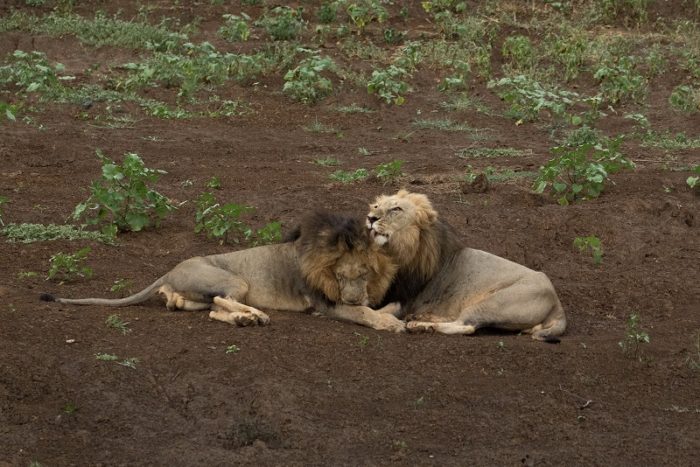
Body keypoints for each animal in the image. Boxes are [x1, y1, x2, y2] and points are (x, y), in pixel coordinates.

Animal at [41, 211, 405, 332]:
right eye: (341, 276)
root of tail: (170, 270)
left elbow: (377, 306)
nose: (354, 295)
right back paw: (253, 316)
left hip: (205, 291)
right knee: (220, 302)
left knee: (207, 306)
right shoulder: (325, 304)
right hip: (235, 278)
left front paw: (390, 311)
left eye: (364, 275)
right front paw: (388, 322)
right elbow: (362, 313)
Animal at [366, 190, 566, 341]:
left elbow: (380, 310)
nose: (370, 218)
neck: (397, 252)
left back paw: (420, 325)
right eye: (376, 206)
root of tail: (557, 305)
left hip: (492, 303)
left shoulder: (409, 299)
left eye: (396, 208)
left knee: (466, 326)